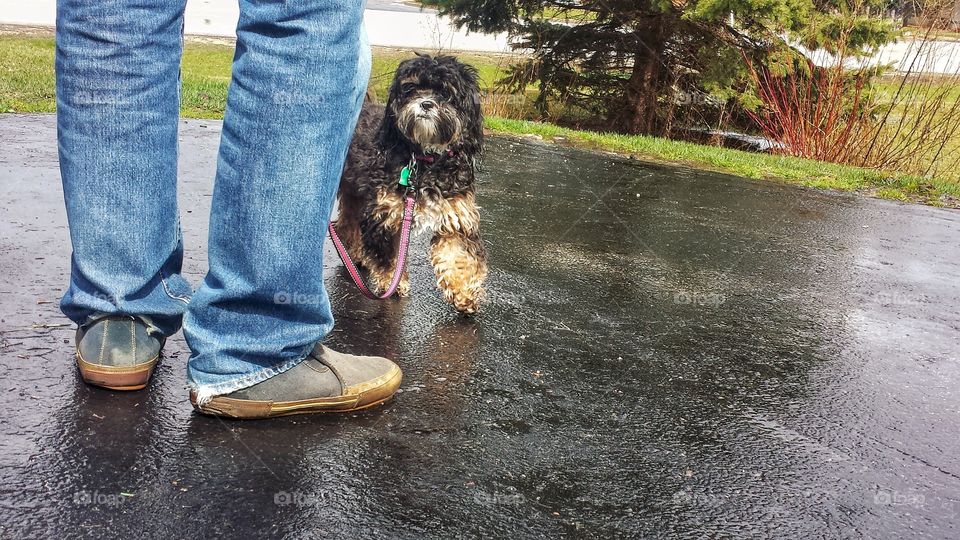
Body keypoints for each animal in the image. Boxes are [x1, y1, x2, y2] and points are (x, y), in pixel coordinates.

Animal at [336, 52, 488, 314]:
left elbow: (457, 256)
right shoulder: (385, 214)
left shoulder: (456, 217)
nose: (426, 104)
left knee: (348, 223)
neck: (424, 161)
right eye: (411, 88)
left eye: (446, 92)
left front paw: (464, 294)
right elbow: (389, 259)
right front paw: (394, 284)